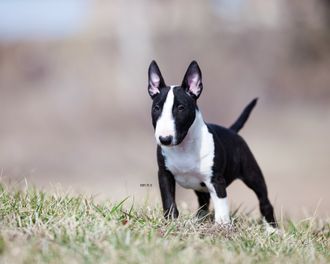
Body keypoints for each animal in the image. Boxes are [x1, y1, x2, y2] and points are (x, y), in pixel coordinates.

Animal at [148, 60, 278, 227]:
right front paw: (171, 221)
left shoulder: (216, 181)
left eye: (181, 108)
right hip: (200, 186)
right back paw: (199, 219)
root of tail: (232, 131)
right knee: (204, 200)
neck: (183, 147)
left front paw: (222, 226)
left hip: (252, 174)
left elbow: (221, 206)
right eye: (156, 108)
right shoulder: (164, 175)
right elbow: (169, 201)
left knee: (264, 199)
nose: (165, 139)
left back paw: (272, 228)